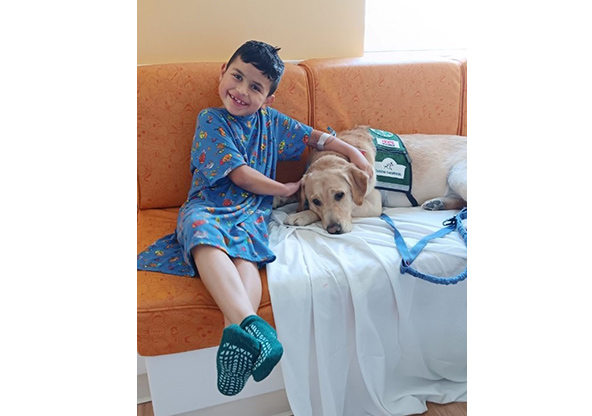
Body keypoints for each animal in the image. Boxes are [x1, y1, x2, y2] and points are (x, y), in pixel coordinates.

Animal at [282, 126, 468, 234]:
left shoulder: (373, 203)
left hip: (457, 175)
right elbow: (294, 193)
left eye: (340, 195)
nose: (334, 229)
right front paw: (283, 198)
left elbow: (348, 207)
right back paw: (437, 203)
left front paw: (301, 214)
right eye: (316, 201)